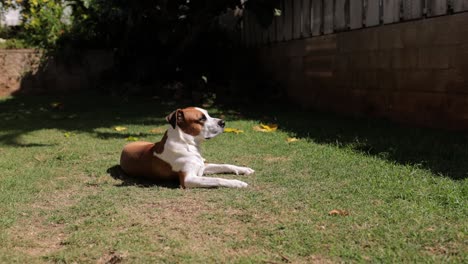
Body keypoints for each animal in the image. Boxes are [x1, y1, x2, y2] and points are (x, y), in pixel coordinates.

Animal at [119, 106, 254, 188]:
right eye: (201, 119)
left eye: (208, 114)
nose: (223, 122)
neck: (187, 144)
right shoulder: (188, 179)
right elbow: (218, 179)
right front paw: (237, 183)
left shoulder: (202, 166)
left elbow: (224, 165)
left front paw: (243, 169)